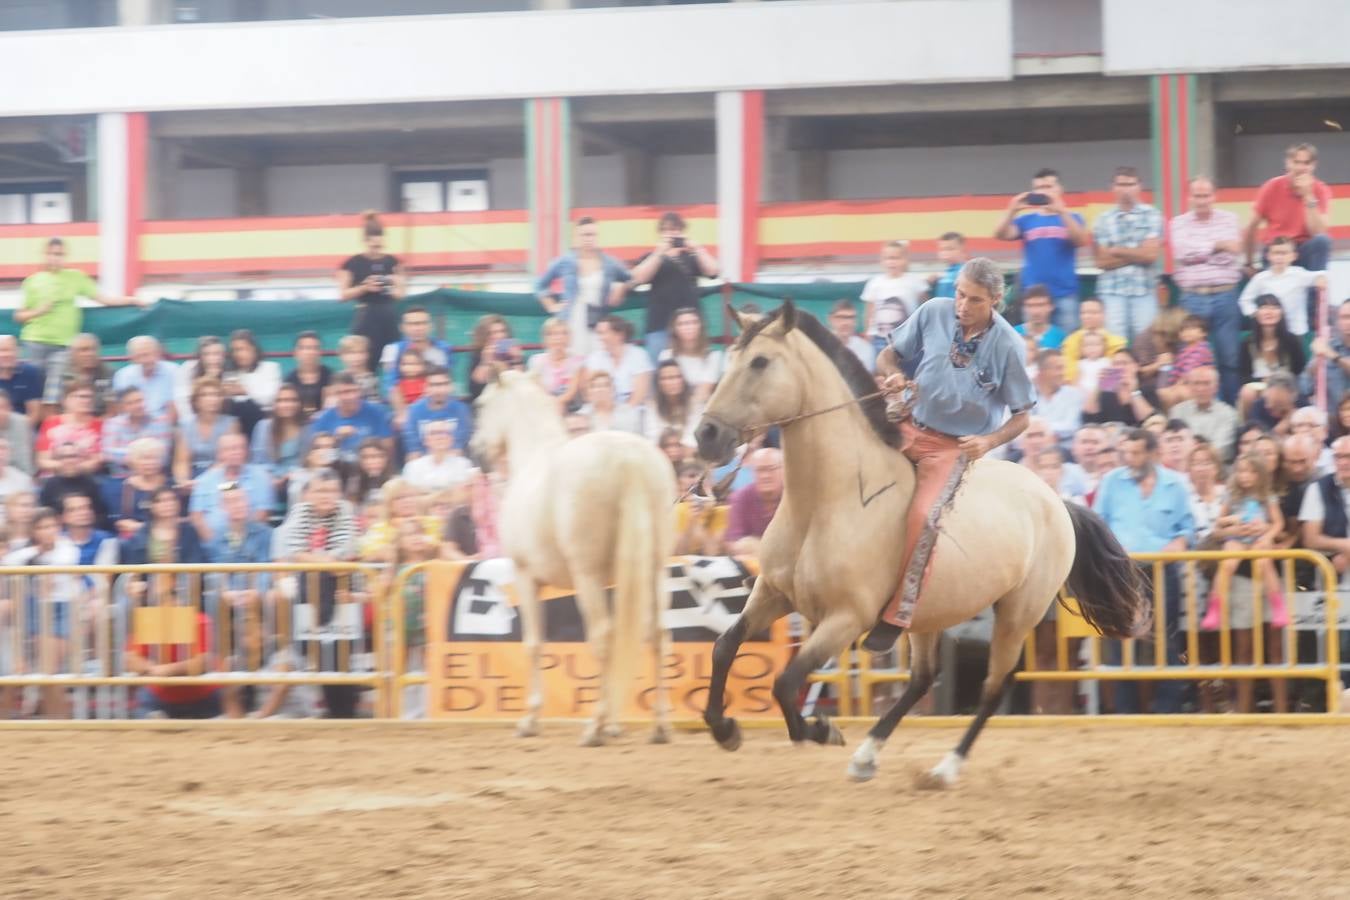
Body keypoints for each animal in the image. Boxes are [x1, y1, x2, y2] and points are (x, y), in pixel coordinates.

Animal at [472, 372, 675, 744]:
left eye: (480, 405)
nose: (476, 451)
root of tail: (629, 460)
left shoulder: (526, 577)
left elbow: (534, 644)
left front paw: (529, 720)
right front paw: (615, 723)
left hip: (588, 576)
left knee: (603, 637)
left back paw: (594, 727)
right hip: (655, 570)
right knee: (657, 634)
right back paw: (659, 726)